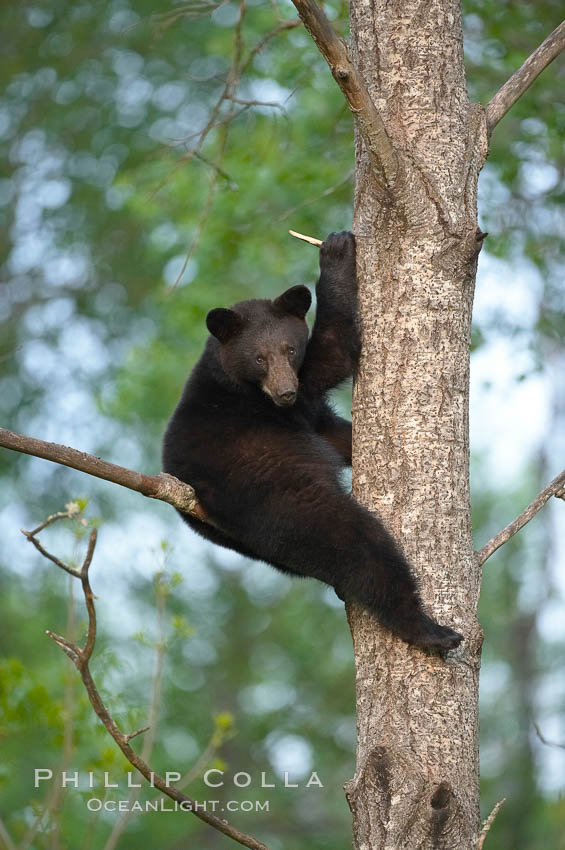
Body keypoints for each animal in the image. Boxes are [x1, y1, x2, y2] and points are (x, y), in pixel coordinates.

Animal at [161, 232, 460, 648]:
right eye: (259, 358)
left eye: (289, 349)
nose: (285, 391)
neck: (236, 381)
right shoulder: (286, 402)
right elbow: (334, 349)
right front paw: (336, 251)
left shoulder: (305, 409)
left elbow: (334, 432)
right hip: (279, 497)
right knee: (357, 544)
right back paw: (428, 629)